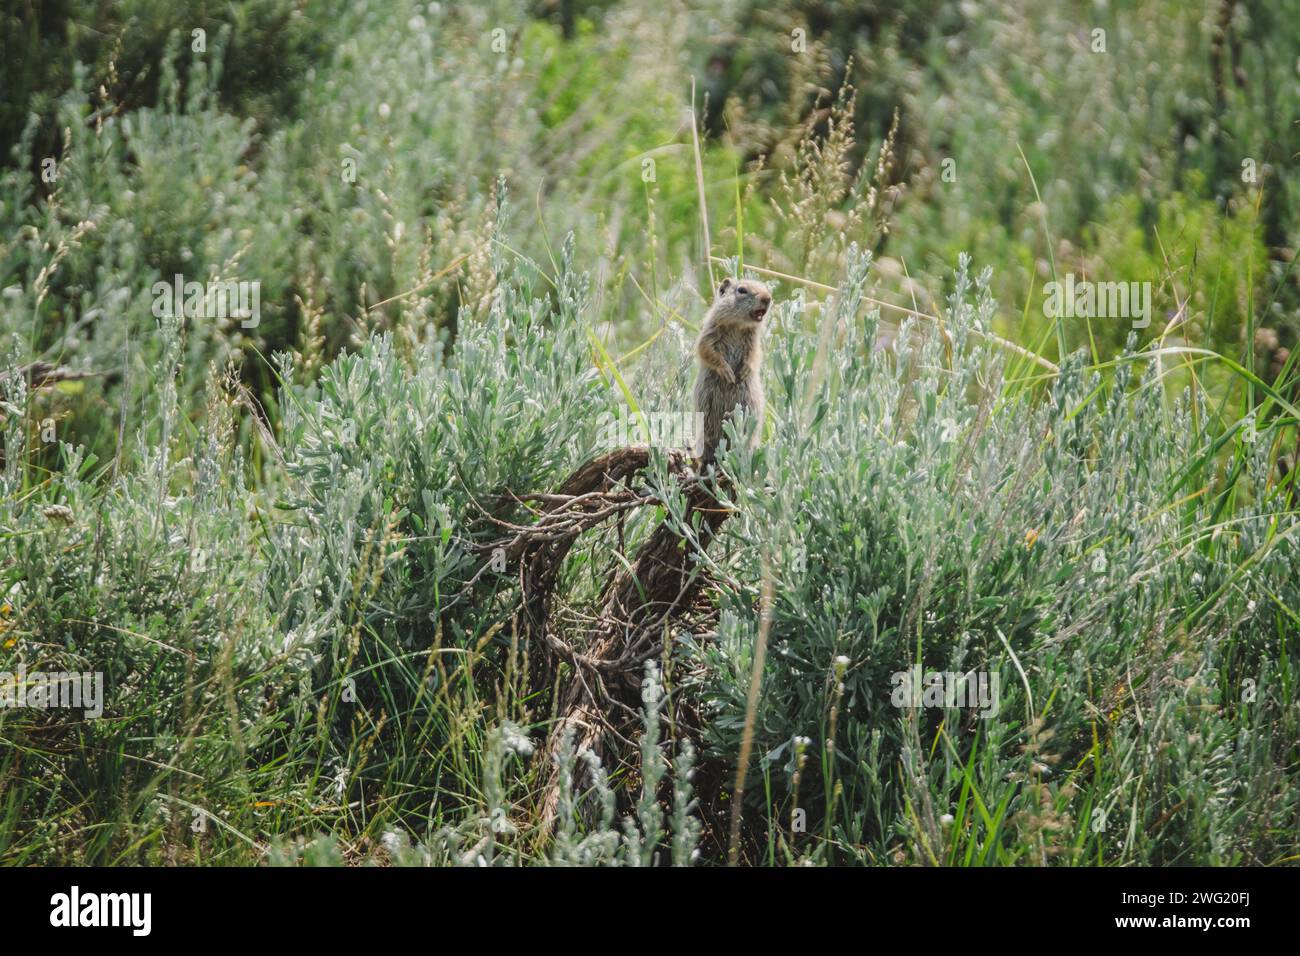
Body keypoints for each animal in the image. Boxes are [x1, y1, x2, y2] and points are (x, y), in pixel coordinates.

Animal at [693, 277, 772, 465]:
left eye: (765, 287)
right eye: (742, 290)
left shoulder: (753, 341)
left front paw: (743, 372)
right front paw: (728, 373)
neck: (738, 326)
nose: (768, 298)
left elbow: (754, 355)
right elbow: (707, 350)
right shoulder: (710, 332)